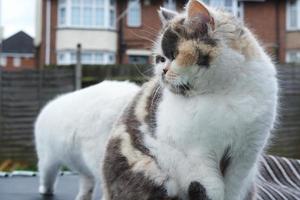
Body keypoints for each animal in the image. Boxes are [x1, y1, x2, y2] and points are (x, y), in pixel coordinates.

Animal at [102, 0, 278, 200]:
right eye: (160, 59)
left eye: (174, 54)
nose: (162, 71)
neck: (224, 92)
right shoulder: (197, 157)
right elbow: (209, 189)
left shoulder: (244, 156)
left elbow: (234, 188)